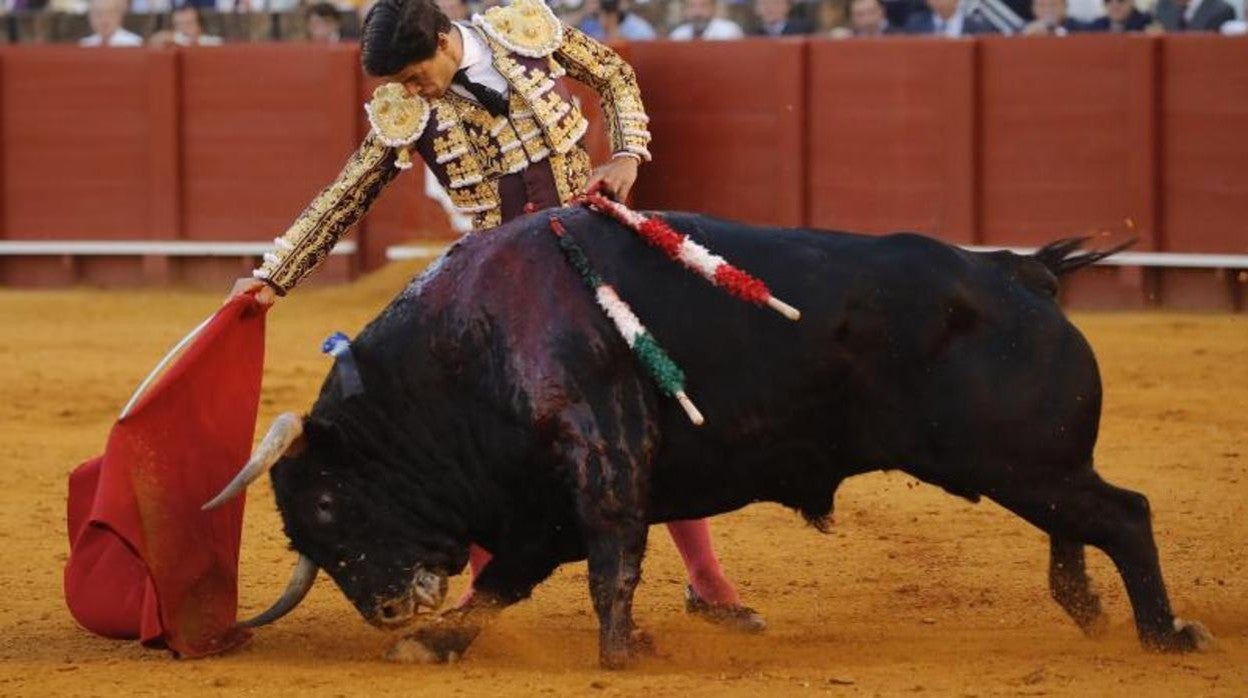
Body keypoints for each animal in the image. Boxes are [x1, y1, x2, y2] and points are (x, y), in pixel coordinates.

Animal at [212, 207, 1208, 664]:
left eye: (329, 503)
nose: (387, 610)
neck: (465, 347)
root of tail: (1022, 273)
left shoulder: (602, 450)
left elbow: (610, 557)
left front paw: (618, 657)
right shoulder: (536, 504)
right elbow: (505, 582)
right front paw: (439, 640)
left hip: (1019, 458)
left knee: (1124, 514)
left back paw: (1163, 635)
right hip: (1028, 463)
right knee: (1076, 526)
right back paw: (1088, 612)